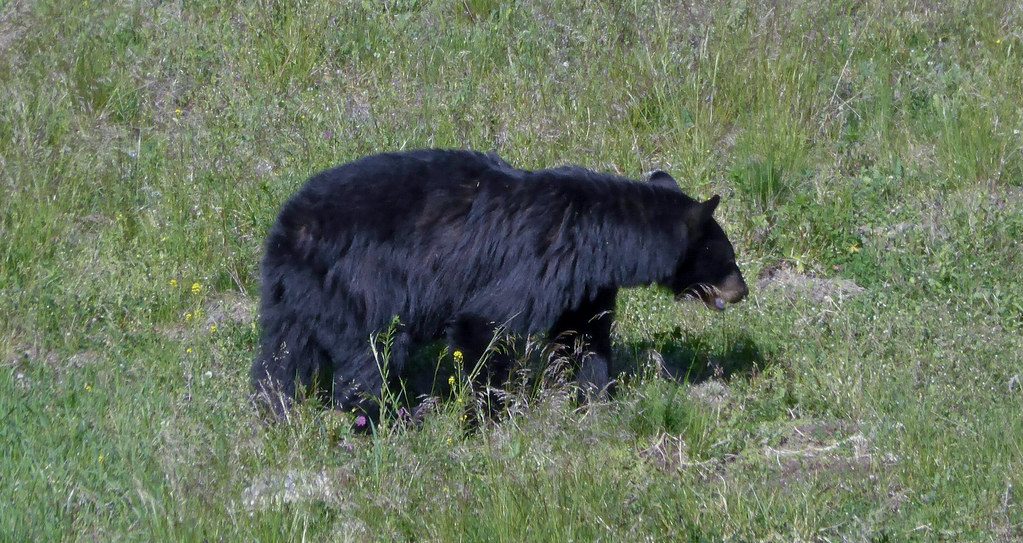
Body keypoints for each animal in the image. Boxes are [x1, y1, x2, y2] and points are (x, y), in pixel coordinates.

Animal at [251, 149, 748, 423]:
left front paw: (593, 400)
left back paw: (275, 410)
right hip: (360, 283)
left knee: (281, 356)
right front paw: (480, 415)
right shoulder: (538, 260)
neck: (599, 234)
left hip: (294, 295)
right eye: (728, 256)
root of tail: (288, 226)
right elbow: (484, 324)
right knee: (372, 352)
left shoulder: (584, 282)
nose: (741, 291)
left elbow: (585, 338)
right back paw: (383, 417)